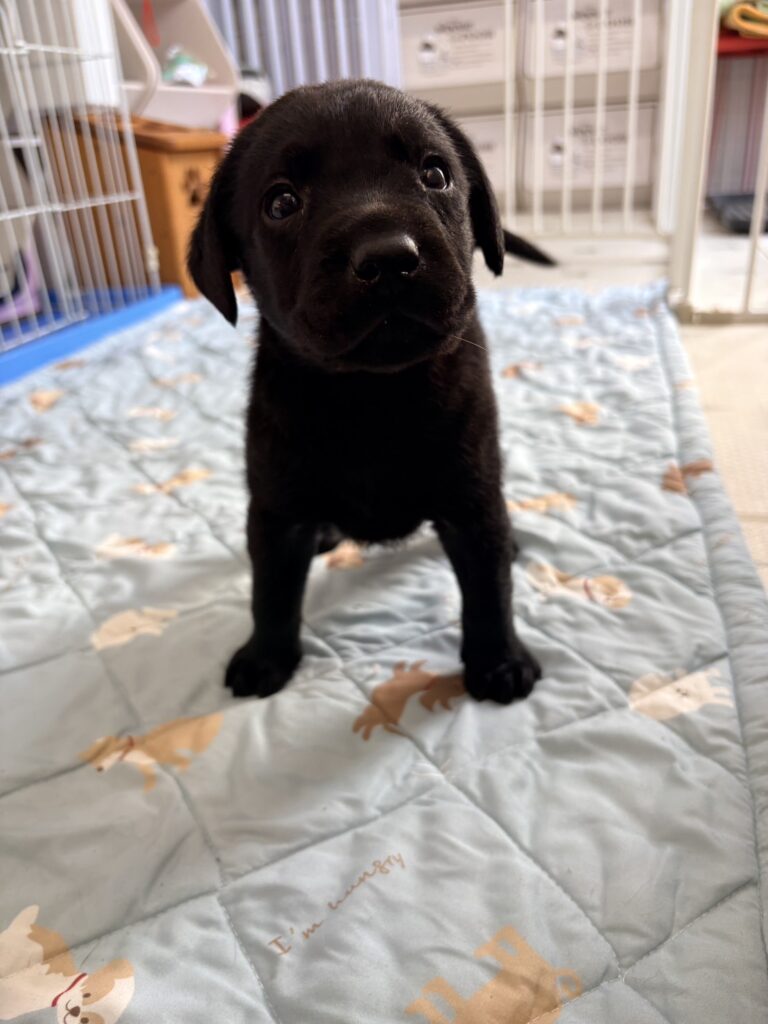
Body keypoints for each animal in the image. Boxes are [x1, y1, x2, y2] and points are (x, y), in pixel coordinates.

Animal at [188, 79, 553, 705]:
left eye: (436, 174)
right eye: (281, 203)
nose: (388, 258)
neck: (372, 395)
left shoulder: (471, 497)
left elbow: (489, 588)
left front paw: (499, 660)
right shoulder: (275, 508)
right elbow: (270, 592)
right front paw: (266, 657)